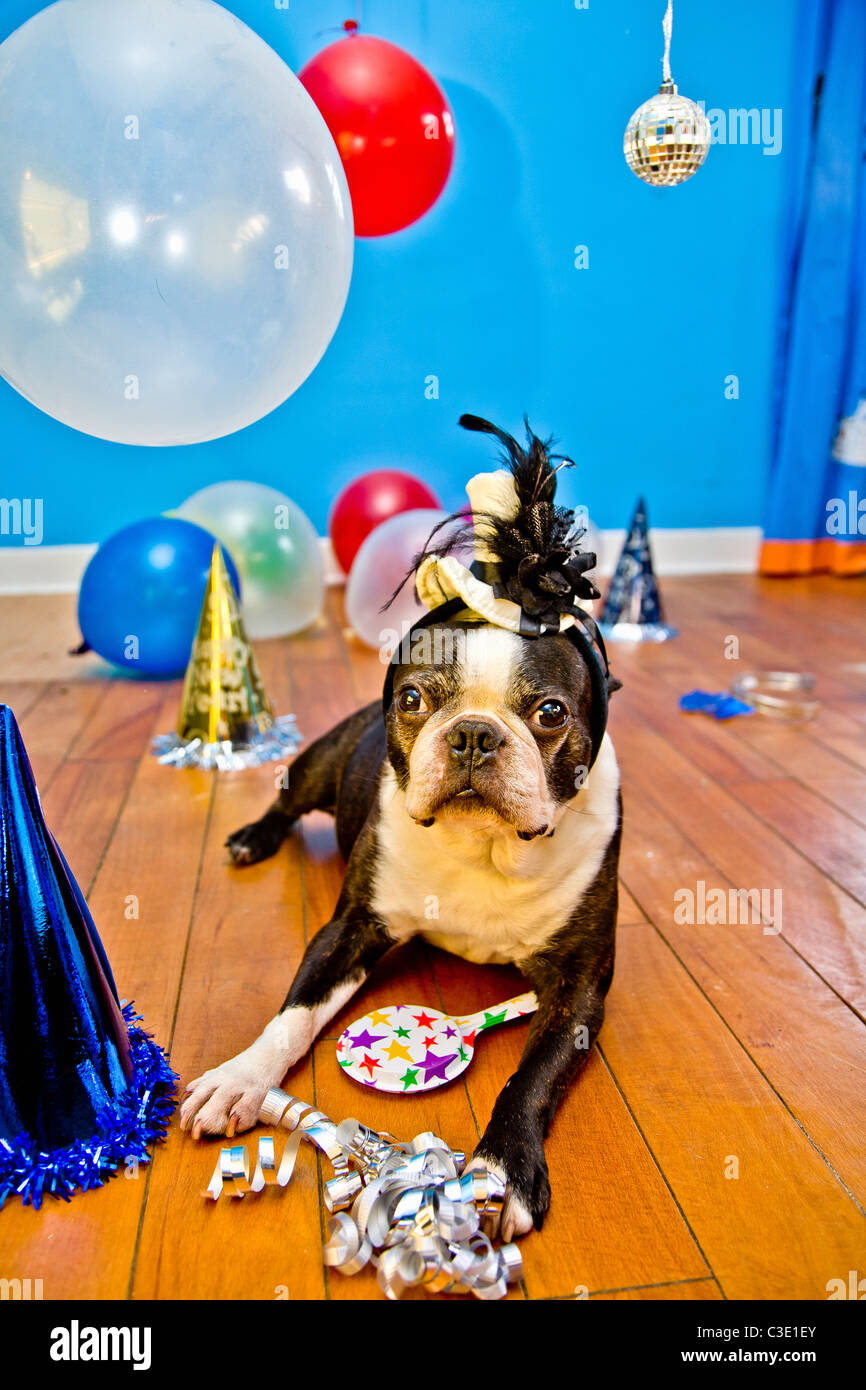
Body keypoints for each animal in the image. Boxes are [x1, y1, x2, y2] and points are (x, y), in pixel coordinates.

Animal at [179, 417, 619, 1245]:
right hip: (318, 764)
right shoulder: (351, 928)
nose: (474, 734)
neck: (484, 849)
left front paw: (501, 1168)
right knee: (287, 802)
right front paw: (241, 1080)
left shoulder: (579, 987)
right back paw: (253, 838)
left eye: (550, 713)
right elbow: (293, 1015)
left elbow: (532, 1076)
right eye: (414, 698)